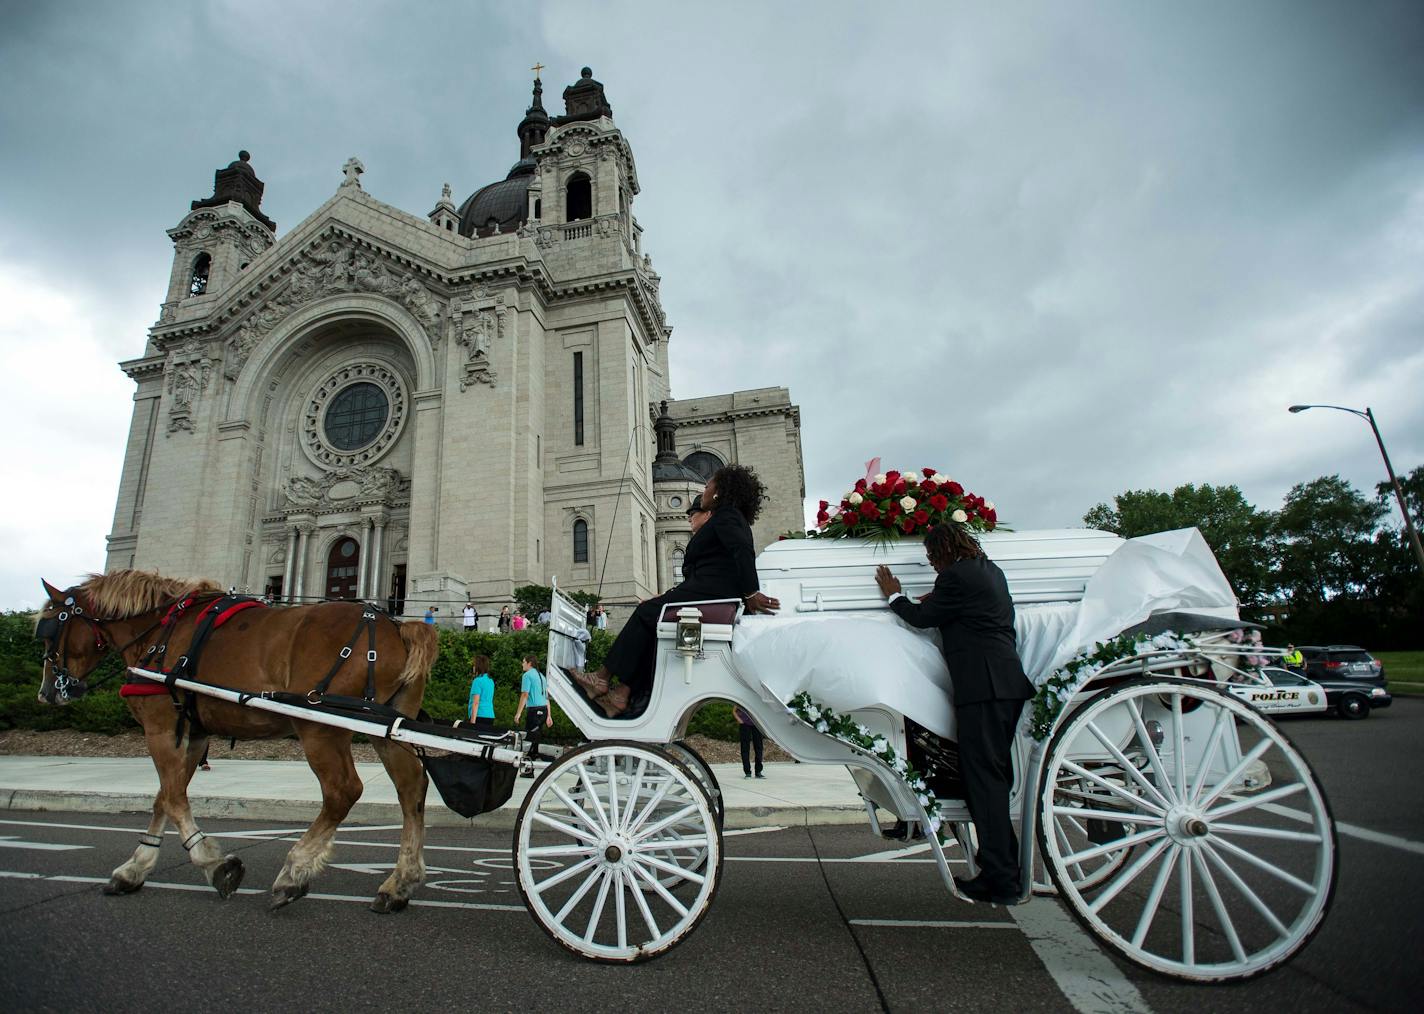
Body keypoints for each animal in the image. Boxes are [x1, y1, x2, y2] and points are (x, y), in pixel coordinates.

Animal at [33, 569, 432, 911]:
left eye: (48, 629)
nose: (46, 693)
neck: (161, 631)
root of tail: (394, 626)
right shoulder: (193, 732)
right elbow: (165, 796)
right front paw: (134, 868)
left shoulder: (160, 726)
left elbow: (173, 798)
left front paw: (215, 864)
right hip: (389, 728)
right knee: (411, 787)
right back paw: (399, 884)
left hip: (320, 728)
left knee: (343, 791)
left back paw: (293, 873)